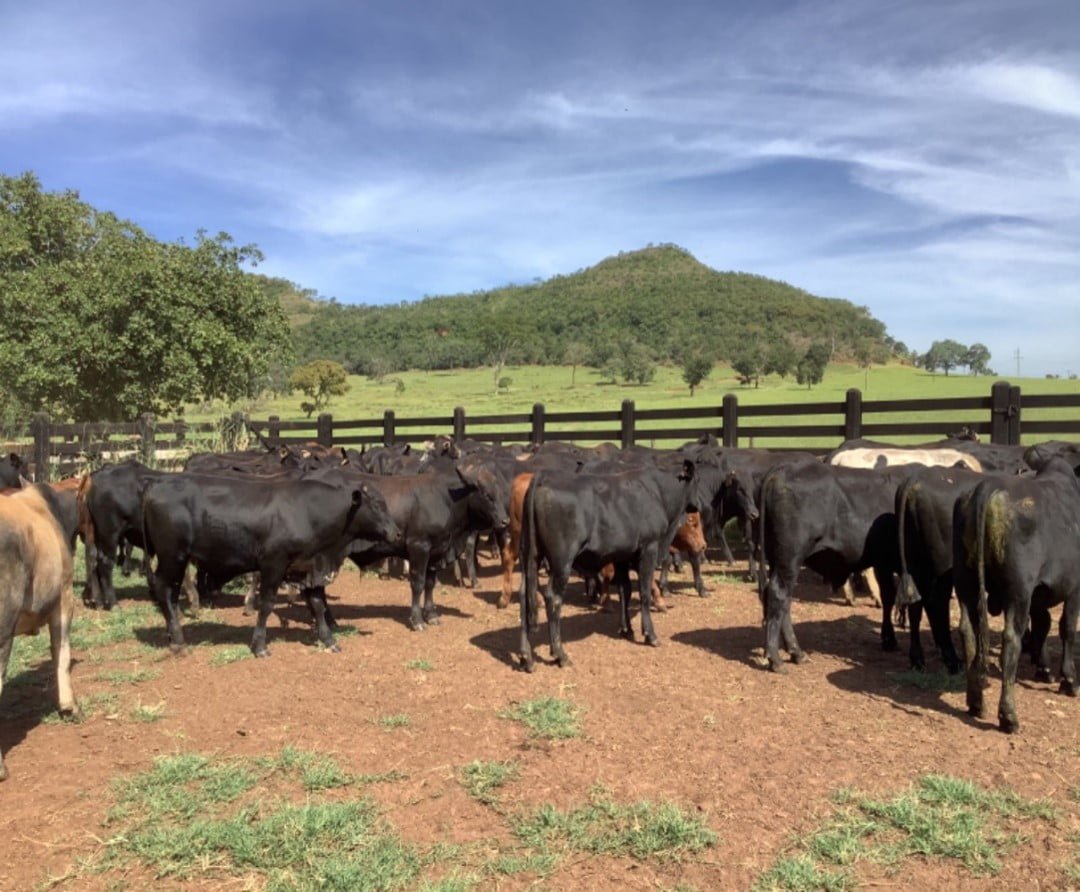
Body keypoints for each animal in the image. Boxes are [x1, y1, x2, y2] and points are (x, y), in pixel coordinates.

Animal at [141, 466, 399, 652]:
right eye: (376, 505)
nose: (396, 533)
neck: (308, 512)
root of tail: (157, 483)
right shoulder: (274, 564)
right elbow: (266, 605)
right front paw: (259, 645)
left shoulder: (309, 567)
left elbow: (317, 604)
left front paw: (329, 640)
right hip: (172, 556)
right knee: (162, 588)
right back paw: (178, 641)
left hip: (177, 561)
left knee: (171, 593)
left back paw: (172, 633)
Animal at [518, 457, 695, 665]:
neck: (657, 492)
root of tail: (544, 477)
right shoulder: (649, 548)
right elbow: (644, 592)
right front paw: (650, 635)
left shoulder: (622, 556)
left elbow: (625, 590)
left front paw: (627, 629)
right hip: (562, 561)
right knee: (553, 598)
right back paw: (560, 654)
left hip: (530, 555)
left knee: (524, 595)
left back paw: (526, 656)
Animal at [756, 462, 915, 669]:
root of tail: (783, 470)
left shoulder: (883, 562)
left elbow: (888, 596)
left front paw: (889, 639)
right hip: (790, 558)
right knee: (778, 595)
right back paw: (776, 658)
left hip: (778, 559)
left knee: (782, 601)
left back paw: (796, 652)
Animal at [954, 457, 1080, 730]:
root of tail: (988, 486)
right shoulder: (1073, 587)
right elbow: (1067, 629)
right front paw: (1069, 680)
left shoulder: (1039, 594)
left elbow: (1043, 624)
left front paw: (1044, 669)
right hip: (1018, 591)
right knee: (1011, 640)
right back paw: (1008, 715)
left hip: (966, 583)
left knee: (967, 631)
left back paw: (976, 702)